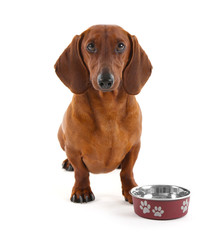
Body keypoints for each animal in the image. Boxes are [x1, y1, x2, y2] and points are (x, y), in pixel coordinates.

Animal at [54, 24, 152, 203]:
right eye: (90, 46)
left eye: (121, 45)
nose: (105, 81)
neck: (108, 110)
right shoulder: (73, 149)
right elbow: (81, 171)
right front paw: (82, 190)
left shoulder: (135, 146)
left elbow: (127, 171)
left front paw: (131, 189)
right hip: (60, 136)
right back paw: (68, 163)